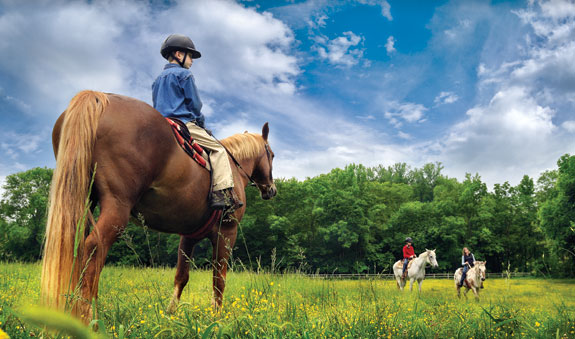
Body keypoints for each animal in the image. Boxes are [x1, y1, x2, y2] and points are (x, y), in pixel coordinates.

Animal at [40, 90, 276, 322]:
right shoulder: (227, 232)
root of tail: (99, 98)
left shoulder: (188, 236)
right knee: (94, 247)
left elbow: (182, 276)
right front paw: (217, 317)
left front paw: (170, 314)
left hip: (84, 202)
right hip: (117, 207)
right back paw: (87, 314)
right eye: (272, 155)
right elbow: (219, 279)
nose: (271, 190)